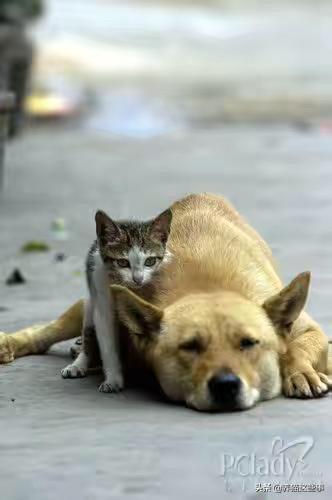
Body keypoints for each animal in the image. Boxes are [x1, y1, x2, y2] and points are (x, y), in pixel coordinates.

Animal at [60, 209, 172, 392]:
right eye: (122, 262)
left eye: (150, 261)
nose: (138, 279)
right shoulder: (100, 287)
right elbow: (107, 344)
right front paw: (113, 380)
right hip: (91, 303)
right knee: (89, 335)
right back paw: (79, 363)